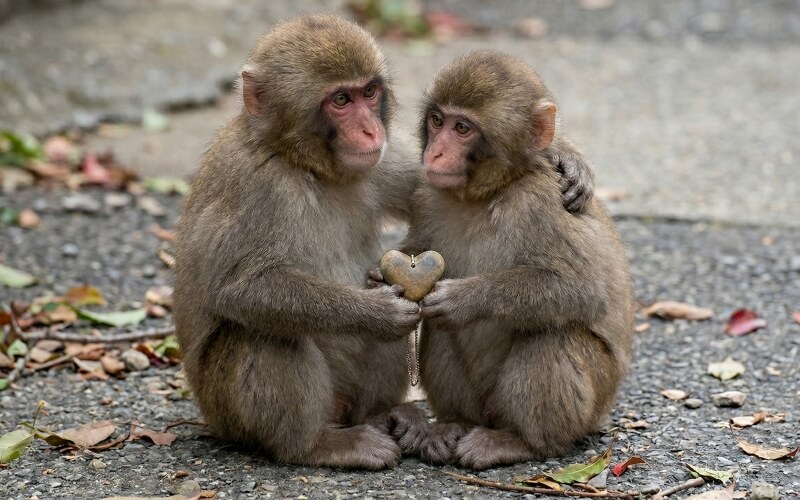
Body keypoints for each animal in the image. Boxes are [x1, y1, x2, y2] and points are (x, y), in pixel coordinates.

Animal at [173, 14, 599, 469]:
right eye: (341, 99)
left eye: (369, 92)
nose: (369, 129)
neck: (301, 162)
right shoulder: (256, 183)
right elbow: (241, 288)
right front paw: (375, 310)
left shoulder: (380, 161)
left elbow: (424, 182)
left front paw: (566, 158)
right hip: (228, 412)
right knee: (265, 331)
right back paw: (316, 445)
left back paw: (386, 416)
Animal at [390, 50, 635, 469]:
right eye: (437, 121)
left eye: (462, 128)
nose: (434, 152)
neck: (485, 194)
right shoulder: (426, 193)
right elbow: (417, 250)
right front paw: (380, 278)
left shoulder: (540, 202)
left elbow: (582, 289)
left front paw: (463, 299)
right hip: (481, 404)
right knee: (441, 329)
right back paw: (452, 425)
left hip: (592, 403)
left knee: (552, 336)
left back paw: (525, 443)